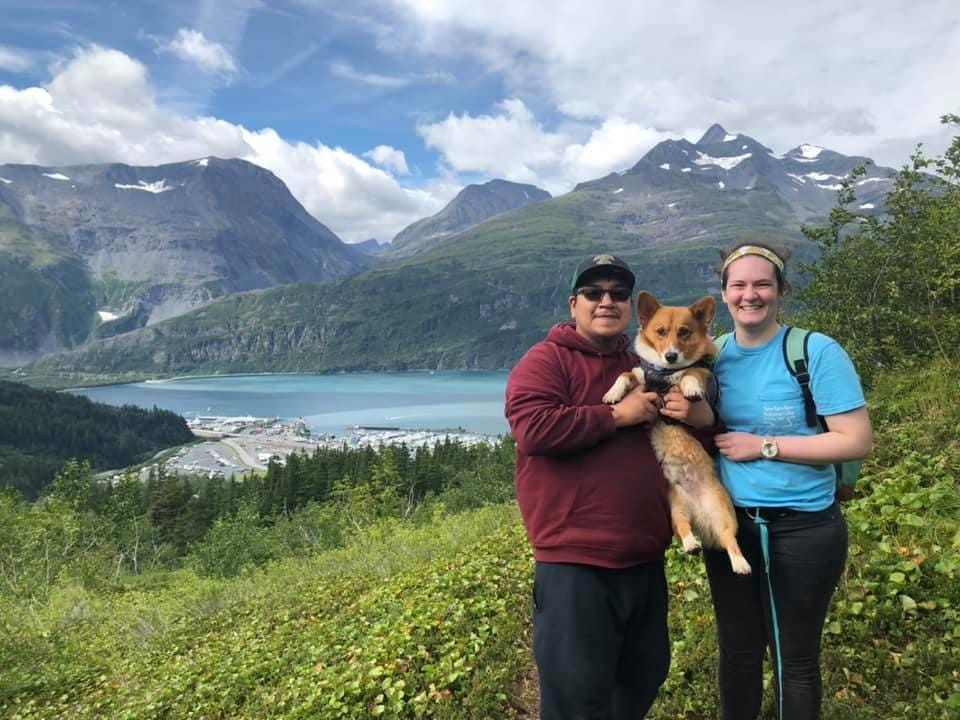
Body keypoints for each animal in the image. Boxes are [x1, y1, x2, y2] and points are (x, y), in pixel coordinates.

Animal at [604, 290, 752, 576]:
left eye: (684, 332)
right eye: (661, 331)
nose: (671, 356)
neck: (665, 375)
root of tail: (697, 509)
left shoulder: (702, 374)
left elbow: (691, 373)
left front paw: (690, 388)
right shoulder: (641, 377)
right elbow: (625, 375)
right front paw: (612, 393)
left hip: (723, 514)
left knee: (730, 539)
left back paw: (740, 563)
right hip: (676, 509)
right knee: (684, 529)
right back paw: (691, 543)